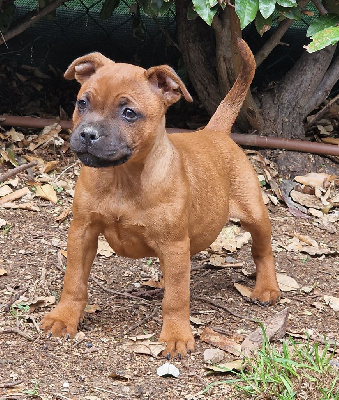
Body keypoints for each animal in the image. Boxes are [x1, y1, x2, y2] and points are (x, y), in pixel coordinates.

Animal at [41, 38, 282, 356]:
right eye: (83, 103)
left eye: (129, 113)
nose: (87, 134)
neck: (123, 178)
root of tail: (214, 132)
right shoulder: (82, 232)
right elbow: (74, 281)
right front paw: (64, 317)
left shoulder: (174, 243)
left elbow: (177, 298)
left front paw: (176, 335)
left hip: (254, 213)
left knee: (262, 250)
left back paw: (266, 288)